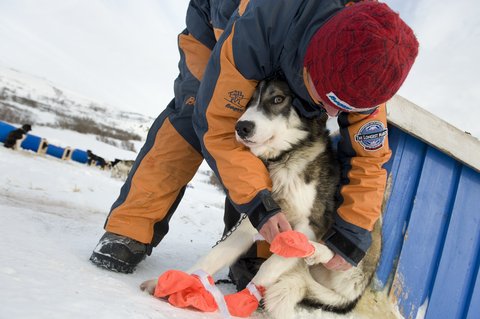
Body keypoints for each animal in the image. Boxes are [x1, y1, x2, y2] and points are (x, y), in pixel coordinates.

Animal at [141, 79, 380, 318]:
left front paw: (245, 298)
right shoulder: (259, 219)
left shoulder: (310, 224)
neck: (282, 159)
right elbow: (215, 255)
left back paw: (318, 252)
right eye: (248, 99)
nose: (242, 127)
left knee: (338, 256)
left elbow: (270, 266)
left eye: (278, 99)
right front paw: (181, 280)